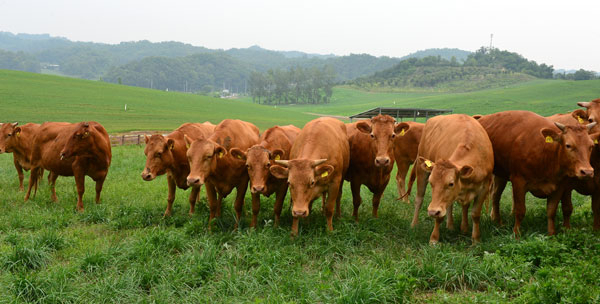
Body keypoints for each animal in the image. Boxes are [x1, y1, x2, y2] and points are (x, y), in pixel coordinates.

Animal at [408, 114, 492, 245]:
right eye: (431, 183)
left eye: (451, 183)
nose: (432, 212)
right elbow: (439, 216)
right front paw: (434, 239)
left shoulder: (484, 187)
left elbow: (475, 214)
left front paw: (476, 239)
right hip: (421, 171)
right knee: (419, 199)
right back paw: (414, 224)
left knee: (452, 206)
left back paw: (454, 226)